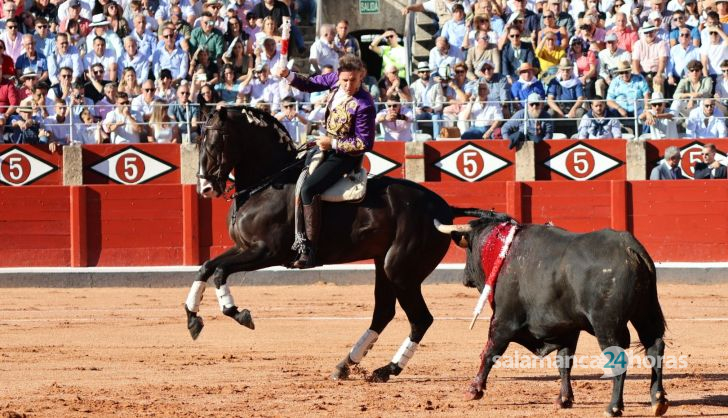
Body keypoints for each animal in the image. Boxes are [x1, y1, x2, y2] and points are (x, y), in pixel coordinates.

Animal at [182, 107, 466, 382]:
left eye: (217, 141)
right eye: (199, 140)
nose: (205, 187)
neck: (267, 184)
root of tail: (444, 207)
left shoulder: (266, 252)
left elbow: (220, 271)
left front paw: (238, 313)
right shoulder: (243, 248)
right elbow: (206, 267)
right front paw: (193, 318)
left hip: (401, 271)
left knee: (420, 319)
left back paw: (386, 370)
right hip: (384, 266)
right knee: (384, 312)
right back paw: (346, 364)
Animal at [436, 214, 668, 416]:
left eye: (469, 250)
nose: (465, 278)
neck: (503, 251)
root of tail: (629, 248)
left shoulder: (503, 320)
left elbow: (490, 351)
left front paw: (473, 390)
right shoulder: (567, 329)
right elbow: (564, 362)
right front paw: (564, 399)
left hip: (607, 325)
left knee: (619, 357)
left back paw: (613, 408)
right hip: (646, 312)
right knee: (654, 347)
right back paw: (658, 400)